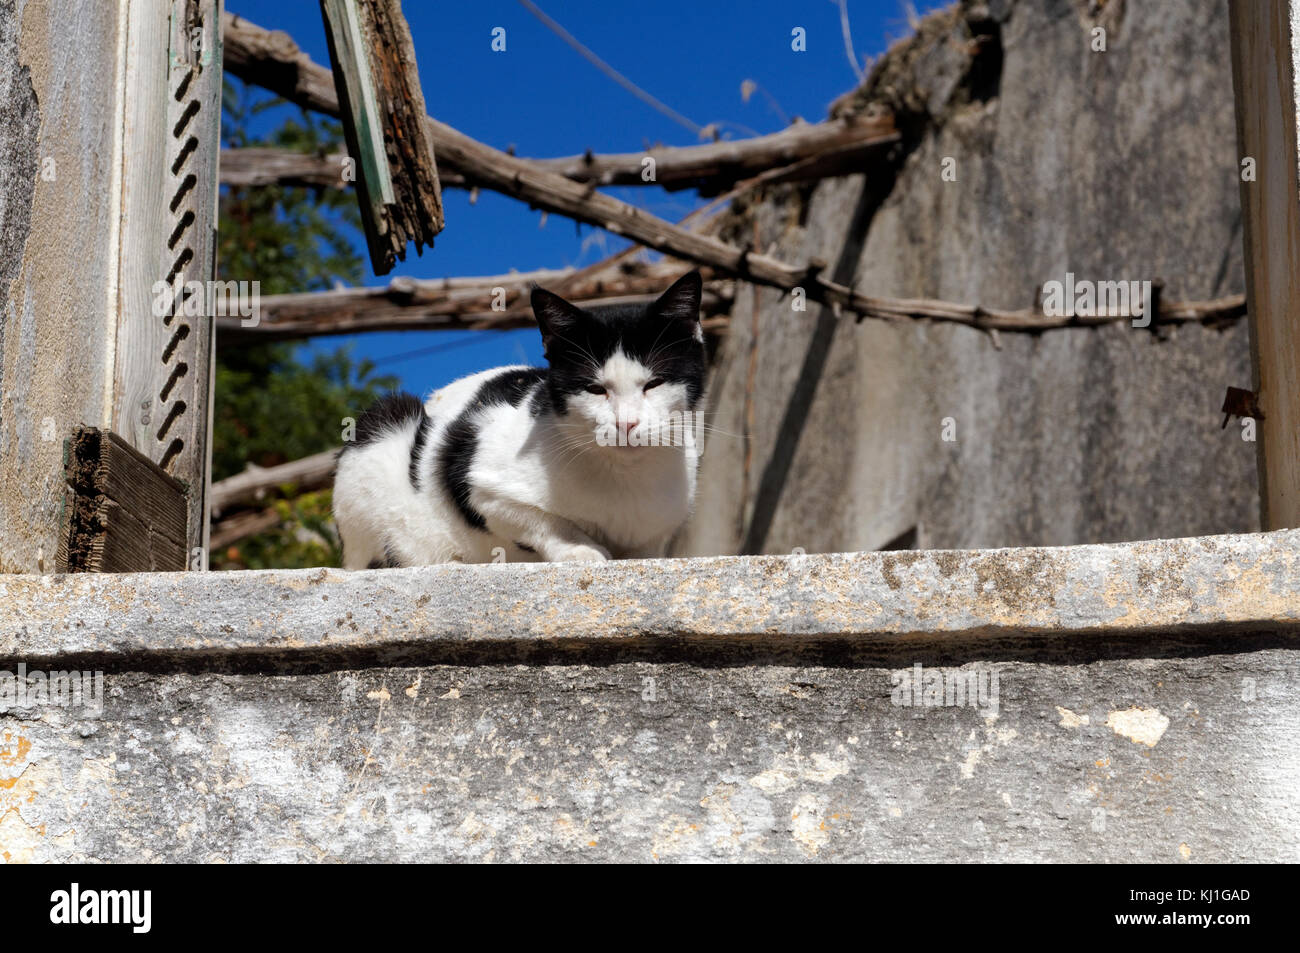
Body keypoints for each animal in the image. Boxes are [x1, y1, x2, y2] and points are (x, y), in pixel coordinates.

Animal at [330, 269, 707, 564]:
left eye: (654, 383)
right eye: (595, 388)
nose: (626, 424)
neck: (627, 478)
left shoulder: (660, 531)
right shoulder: (481, 484)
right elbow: (544, 521)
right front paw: (580, 549)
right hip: (384, 423)